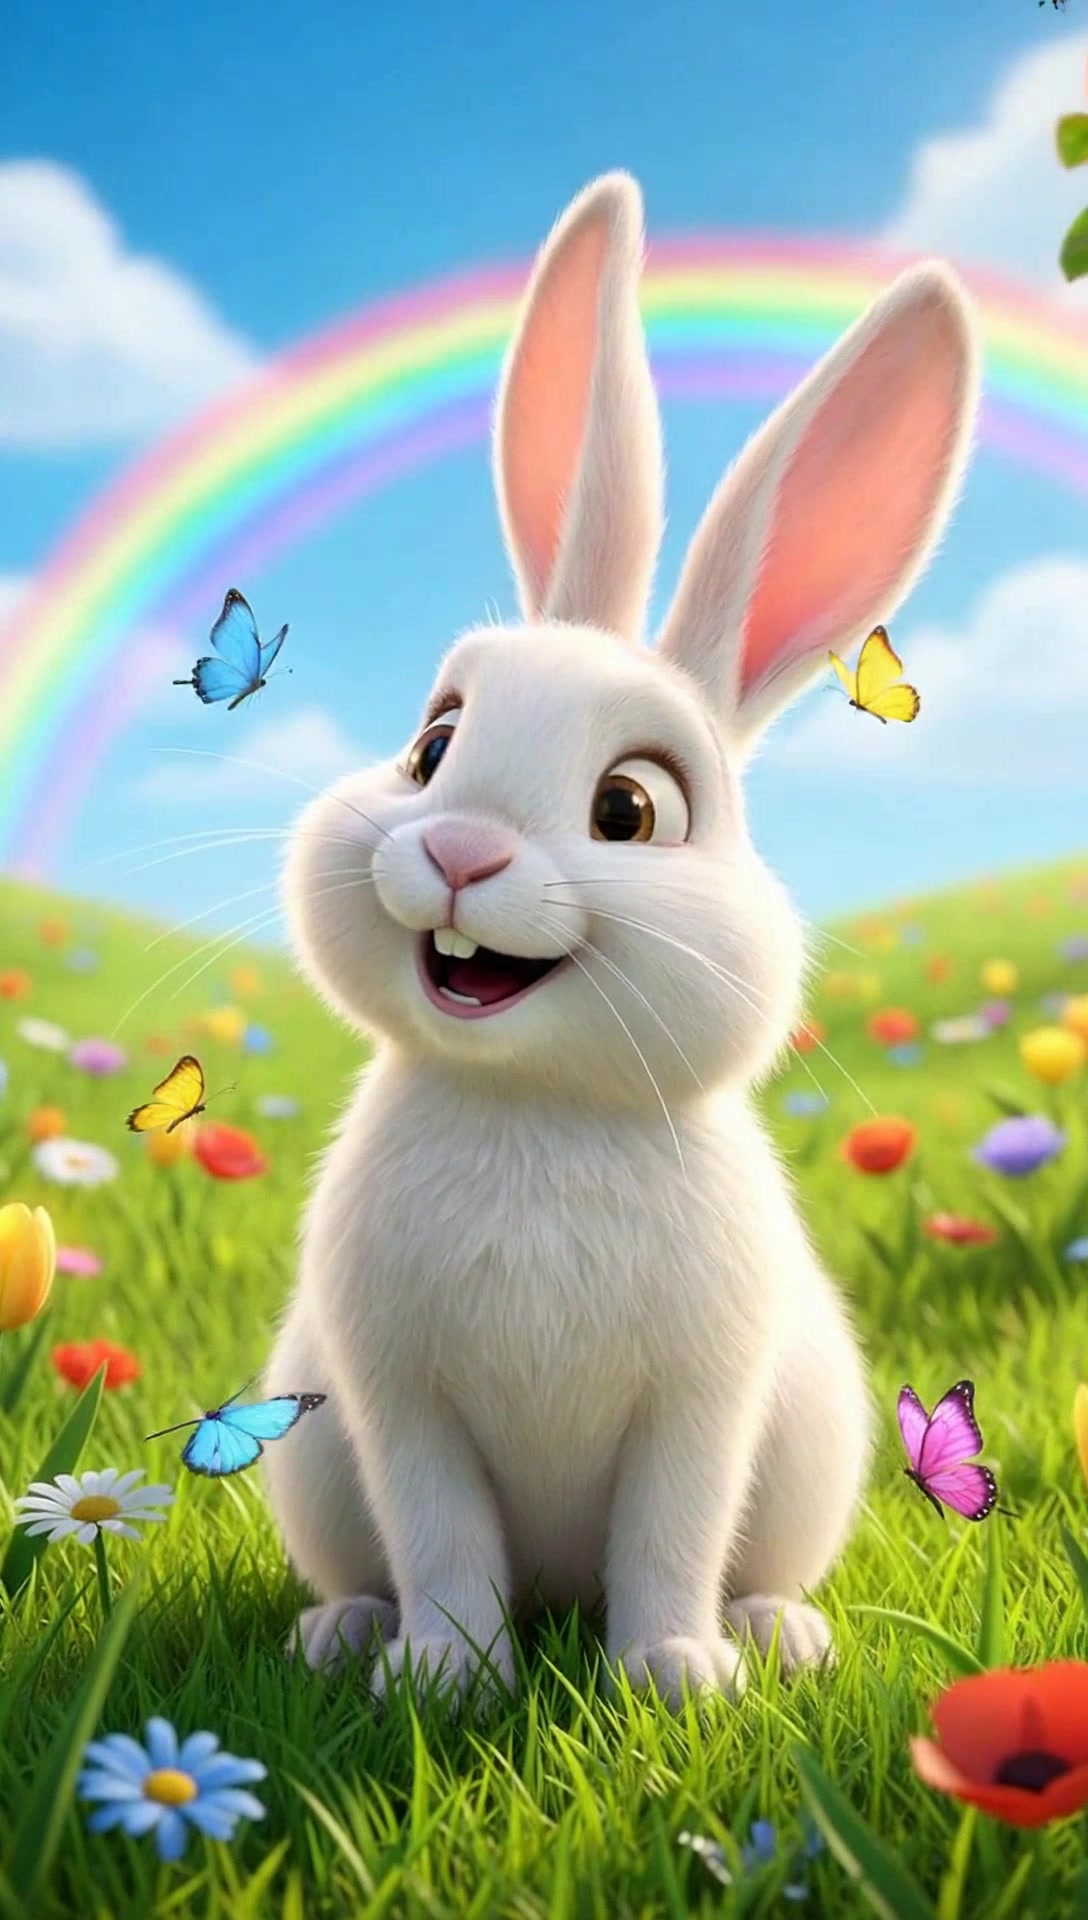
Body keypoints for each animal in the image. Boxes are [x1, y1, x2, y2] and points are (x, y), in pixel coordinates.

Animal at [264, 170, 979, 1708]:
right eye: (432, 745)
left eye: (630, 809)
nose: (459, 854)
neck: (536, 1110)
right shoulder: (399, 1399)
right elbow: (440, 1535)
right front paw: (448, 1677)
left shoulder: (701, 1403)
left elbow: (670, 1530)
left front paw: (672, 1675)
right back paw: (342, 1635)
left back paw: (774, 1636)